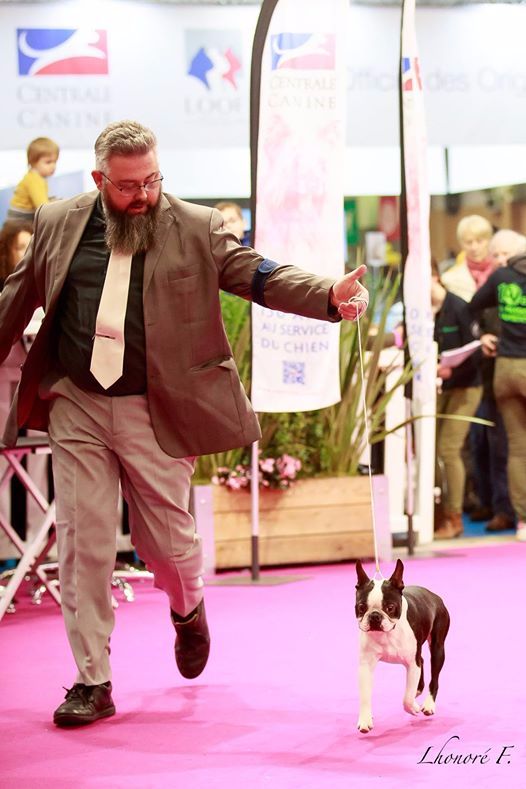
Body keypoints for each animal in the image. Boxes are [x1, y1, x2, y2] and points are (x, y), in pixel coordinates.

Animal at [356, 560, 452, 732]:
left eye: (390, 608)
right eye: (361, 607)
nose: (374, 616)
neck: (388, 633)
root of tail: (434, 595)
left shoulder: (412, 664)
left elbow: (406, 698)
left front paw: (412, 707)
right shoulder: (365, 666)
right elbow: (365, 695)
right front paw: (365, 719)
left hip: (438, 648)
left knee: (434, 677)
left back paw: (428, 704)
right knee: (422, 660)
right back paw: (418, 690)